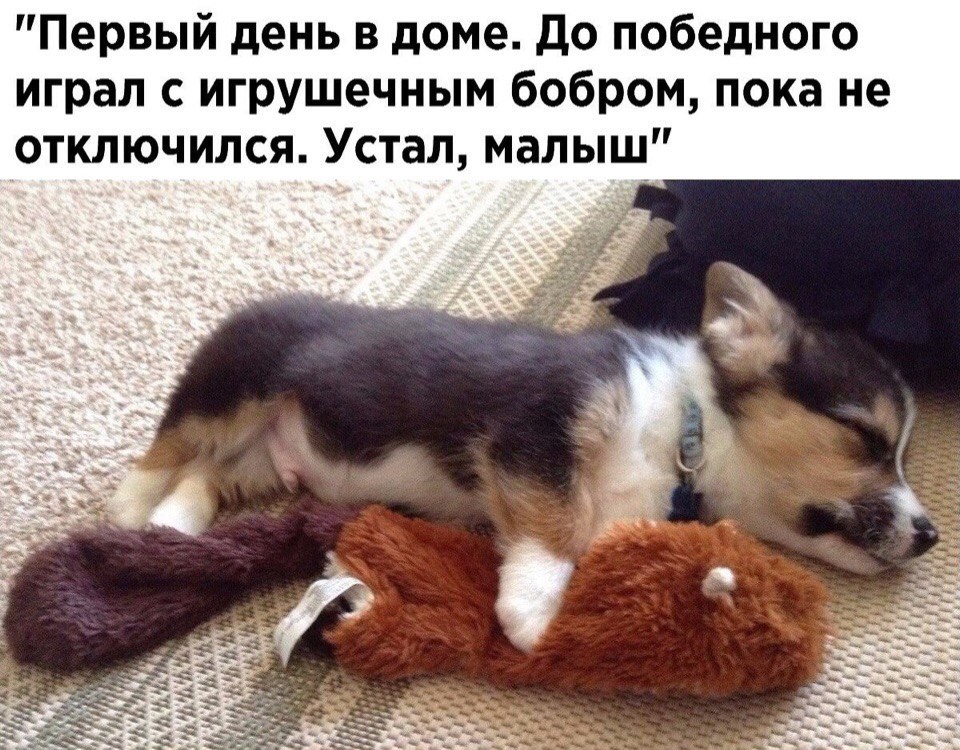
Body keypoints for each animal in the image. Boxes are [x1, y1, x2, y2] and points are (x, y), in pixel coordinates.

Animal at [107, 262, 938, 652]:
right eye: (866, 438)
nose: (931, 534)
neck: (687, 429)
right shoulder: (534, 432)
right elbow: (556, 528)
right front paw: (534, 617)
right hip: (235, 386)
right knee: (171, 445)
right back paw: (129, 510)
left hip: (258, 457)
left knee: (206, 472)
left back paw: (174, 527)